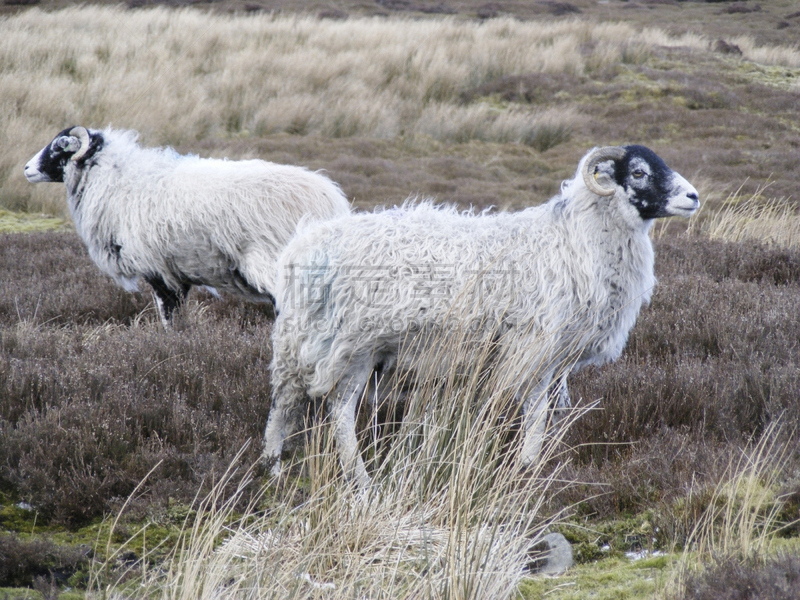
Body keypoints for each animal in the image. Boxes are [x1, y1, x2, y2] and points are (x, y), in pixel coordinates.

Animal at [24, 123, 350, 326]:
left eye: (58, 148)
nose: (26, 168)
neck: (118, 179)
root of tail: (330, 200)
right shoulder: (177, 274)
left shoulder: (157, 270)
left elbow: (168, 318)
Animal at [264, 145, 700, 488]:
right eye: (639, 172)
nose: (694, 197)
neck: (574, 240)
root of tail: (305, 244)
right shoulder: (531, 345)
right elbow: (536, 412)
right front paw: (528, 466)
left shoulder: (556, 355)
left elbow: (553, 410)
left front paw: (542, 461)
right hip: (342, 344)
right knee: (318, 409)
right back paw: (331, 475)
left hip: (325, 345)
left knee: (304, 405)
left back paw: (292, 470)